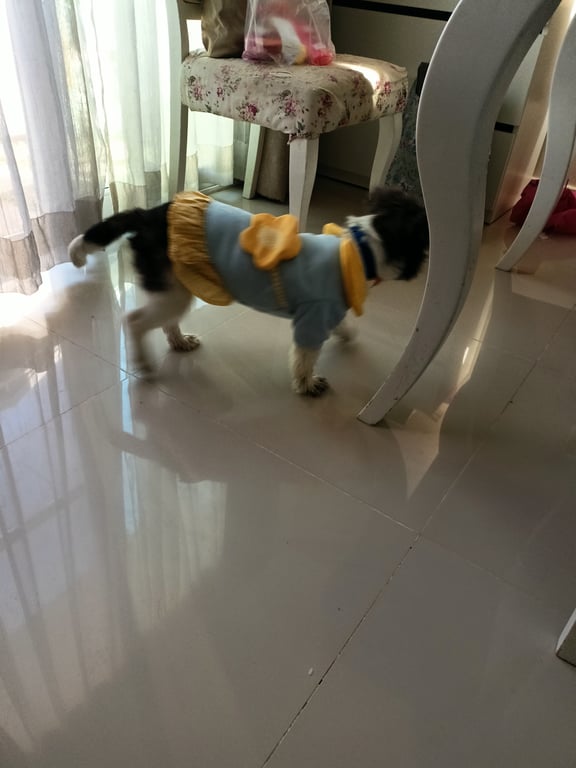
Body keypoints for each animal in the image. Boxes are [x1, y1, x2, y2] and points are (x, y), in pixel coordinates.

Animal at [68, 187, 428, 395]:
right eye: (424, 246)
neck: (358, 248)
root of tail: (147, 216)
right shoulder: (313, 316)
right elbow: (305, 356)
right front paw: (307, 383)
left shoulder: (328, 308)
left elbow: (342, 326)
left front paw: (348, 335)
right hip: (171, 290)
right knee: (134, 322)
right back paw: (143, 361)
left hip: (175, 287)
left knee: (164, 320)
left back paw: (179, 341)